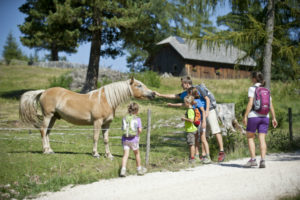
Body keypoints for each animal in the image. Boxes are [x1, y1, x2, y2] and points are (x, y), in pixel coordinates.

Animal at [18, 77, 155, 159]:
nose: (153, 94)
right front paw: (95, 154)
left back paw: (50, 150)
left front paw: (109, 155)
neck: (106, 100)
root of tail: (44, 91)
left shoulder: (106, 124)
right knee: (43, 130)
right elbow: (95, 138)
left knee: (47, 132)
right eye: (139, 85)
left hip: (53, 118)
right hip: (48, 116)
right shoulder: (97, 122)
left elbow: (106, 140)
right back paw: (45, 151)